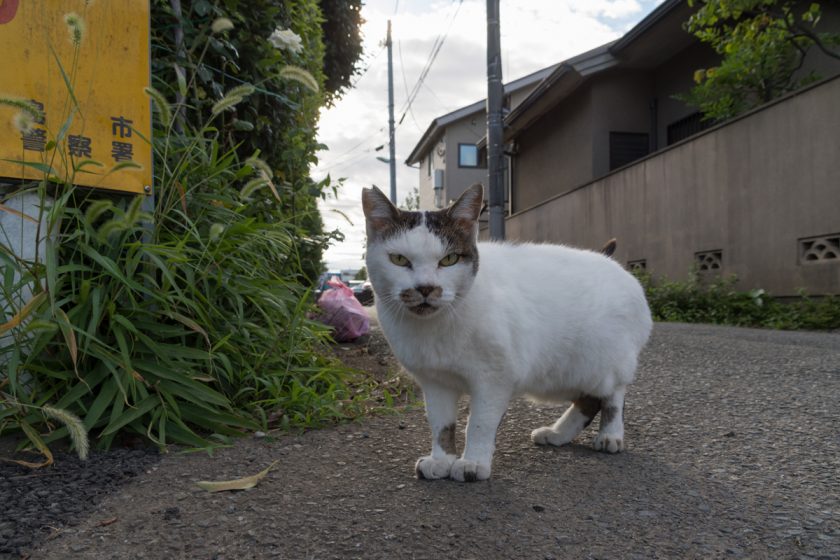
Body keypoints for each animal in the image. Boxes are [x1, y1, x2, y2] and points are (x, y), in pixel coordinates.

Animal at [360, 184, 648, 482]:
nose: (426, 287)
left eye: (449, 259)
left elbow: (479, 423)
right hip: (564, 373)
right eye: (399, 259)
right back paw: (557, 434)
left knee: (612, 395)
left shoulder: (494, 377)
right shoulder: (435, 381)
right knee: (588, 400)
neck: (436, 326)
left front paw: (472, 463)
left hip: (604, 363)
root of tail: (608, 260)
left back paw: (610, 435)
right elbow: (441, 424)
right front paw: (441, 460)